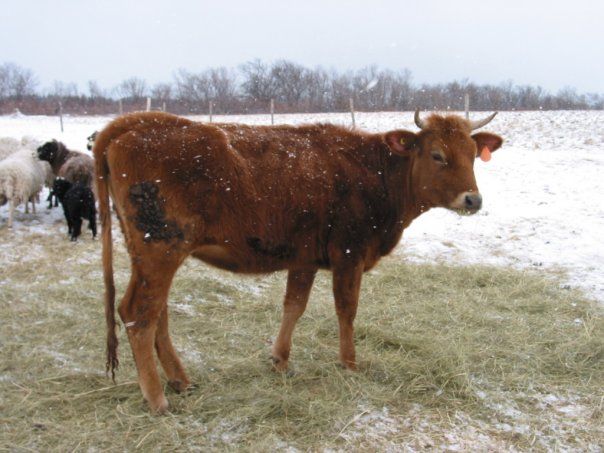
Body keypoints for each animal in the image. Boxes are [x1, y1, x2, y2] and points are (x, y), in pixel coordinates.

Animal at [93, 109, 500, 414]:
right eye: (437, 155)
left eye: (471, 154)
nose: (473, 199)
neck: (375, 173)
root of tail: (135, 122)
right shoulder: (349, 254)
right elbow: (346, 309)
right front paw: (349, 363)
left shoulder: (303, 258)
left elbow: (294, 305)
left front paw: (280, 360)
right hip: (161, 248)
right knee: (138, 313)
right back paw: (157, 398)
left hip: (151, 253)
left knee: (156, 312)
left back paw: (180, 380)